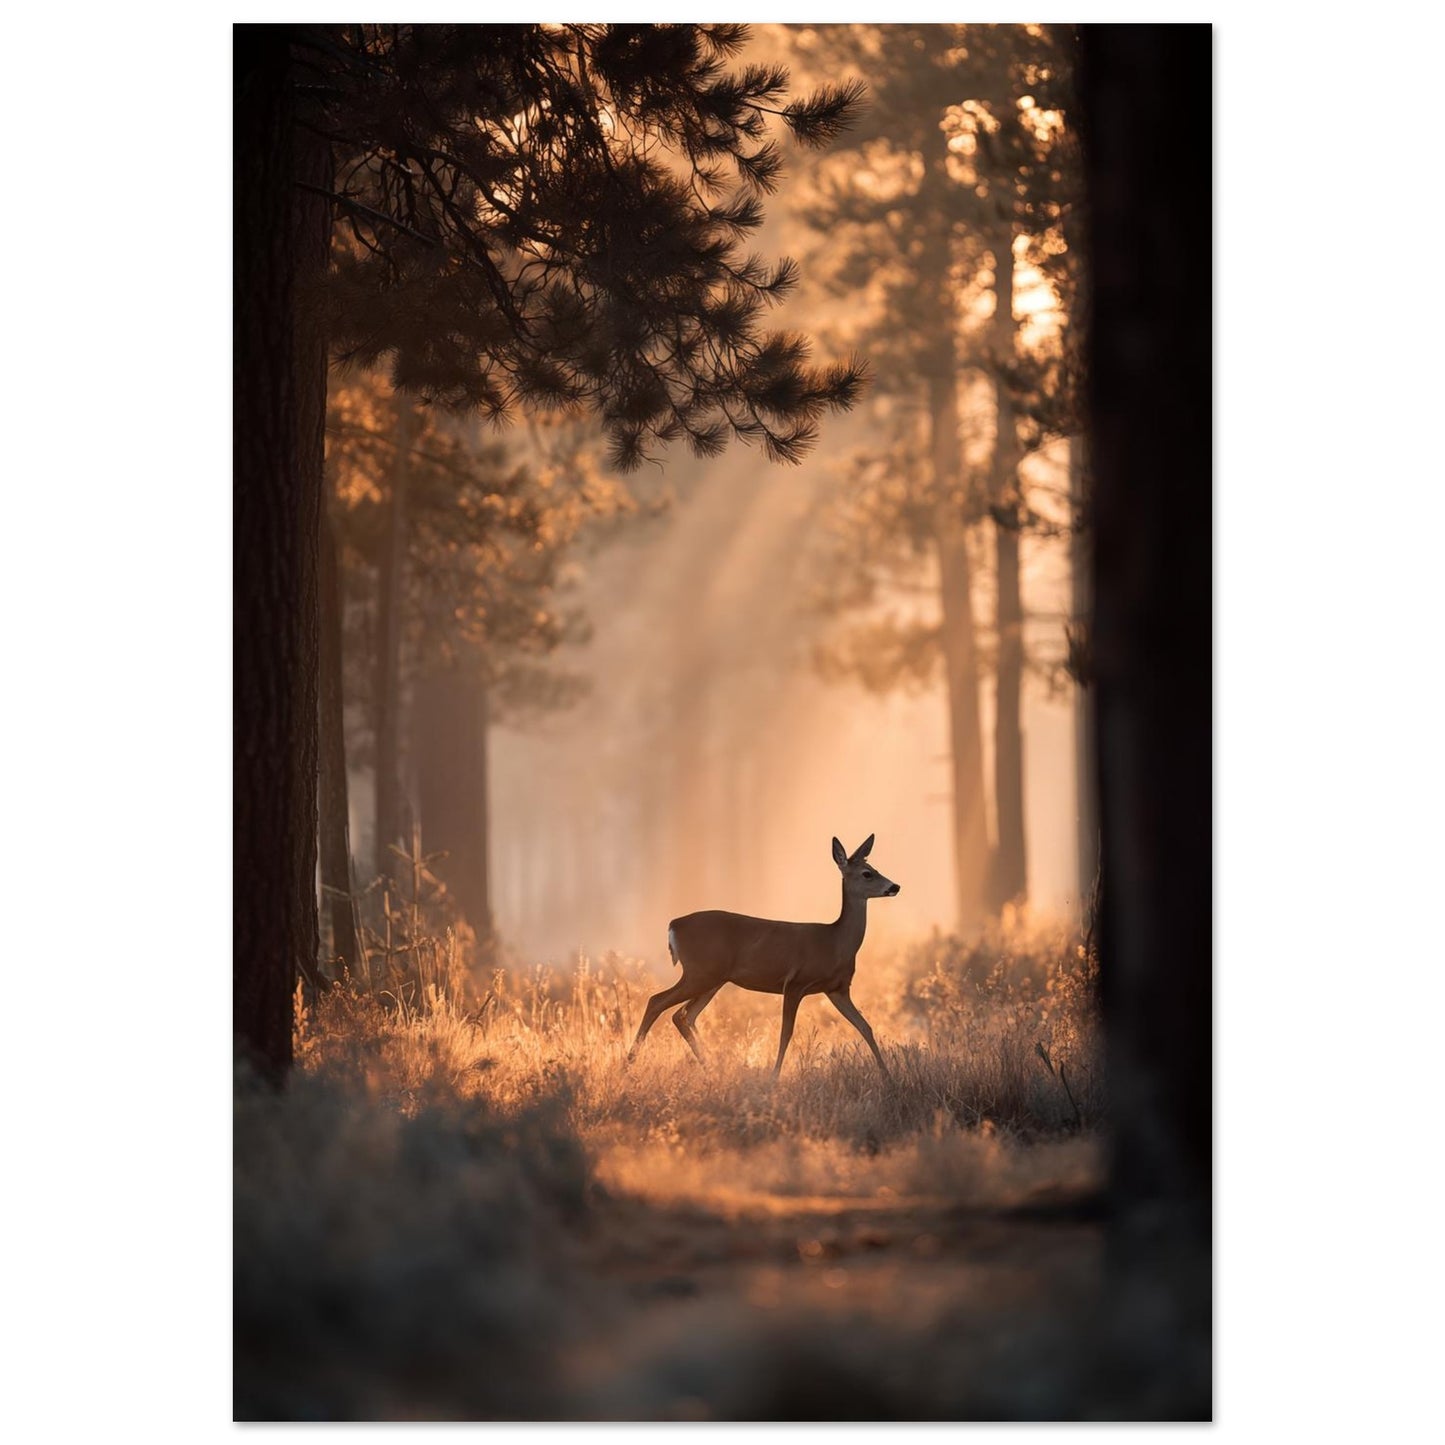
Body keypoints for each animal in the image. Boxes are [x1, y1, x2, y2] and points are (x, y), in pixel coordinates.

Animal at [626, 834, 900, 1079]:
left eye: (874, 868)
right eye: (867, 873)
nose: (895, 886)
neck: (834, 942)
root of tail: (673, 925)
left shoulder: (837, 989)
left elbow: (865, 1027)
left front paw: (888, 1077)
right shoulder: (795, 983)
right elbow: (786, 1033)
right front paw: (773, 1078)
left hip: (712, 979)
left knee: (683, 1015)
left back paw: (710, 1069)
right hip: (699, 973)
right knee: (657, 1001)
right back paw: (629, 1064)